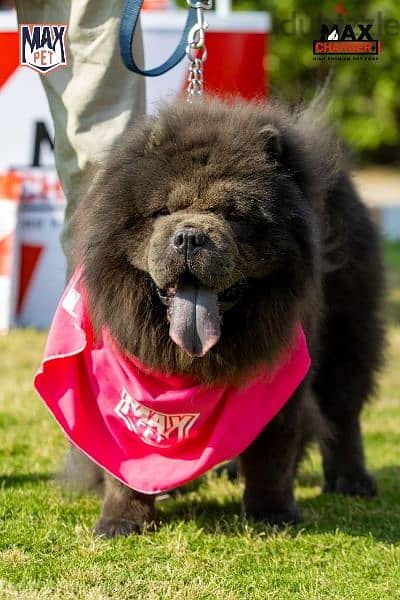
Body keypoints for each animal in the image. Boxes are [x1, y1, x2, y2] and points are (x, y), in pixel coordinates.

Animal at [65, 99, 384, 540]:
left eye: (234, 216)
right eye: (163, 212)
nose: (189, 237)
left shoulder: (281, 374)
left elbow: (273, 450)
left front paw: (271, 514)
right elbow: (125, 464)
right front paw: (120, 521)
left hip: (347, 331)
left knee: (343, 413)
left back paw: (351, 481)